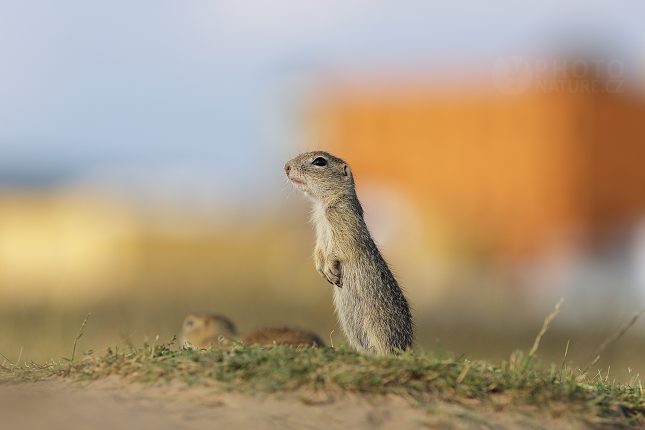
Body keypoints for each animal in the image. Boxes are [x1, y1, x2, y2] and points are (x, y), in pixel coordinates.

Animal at [284, 151, 412, 352]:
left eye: (319, 161)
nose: (286, 167)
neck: (324, 205)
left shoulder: (345, 227)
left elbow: (338, 247)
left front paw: (329, 269)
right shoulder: (319, 229)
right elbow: (318, 249)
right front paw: (321, 269)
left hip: (379, 326)